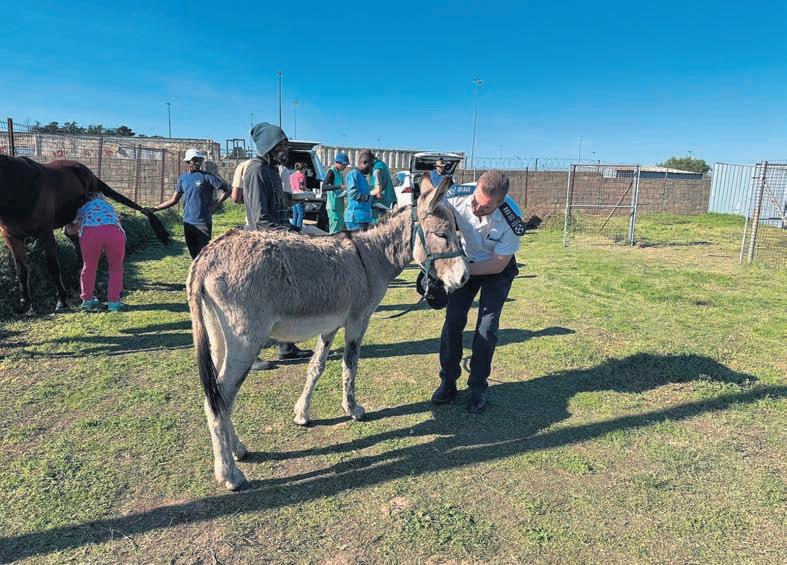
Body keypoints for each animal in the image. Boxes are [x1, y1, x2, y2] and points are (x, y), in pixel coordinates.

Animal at [0, 155, 170, 313]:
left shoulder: (46, 233)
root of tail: (90, 173)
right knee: (79, 248)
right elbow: (21, 271)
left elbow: (53, 266)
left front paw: (61, 301)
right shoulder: (12, 237)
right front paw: (25, 306)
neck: (22, 188)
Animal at [187, 175, 469, 490]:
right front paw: (353, 409)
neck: (370, 257)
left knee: (219, 396)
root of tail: (206, 256)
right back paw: (229, 474)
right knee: (219, 400)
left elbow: (317, 366)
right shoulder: (358, 320)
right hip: (245, 341)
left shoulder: (331, 324)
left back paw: (237, 450)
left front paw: (302, 414)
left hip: (218, 338)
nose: (464, 278)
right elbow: (350, 365)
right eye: (442, 234)